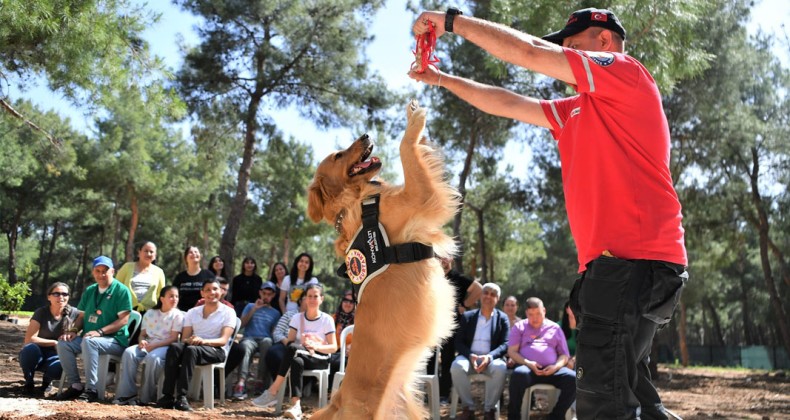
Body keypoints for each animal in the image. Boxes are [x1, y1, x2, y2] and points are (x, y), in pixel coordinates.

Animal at [308, 100, 460, 418]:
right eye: (339, 155)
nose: (366, 135)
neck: (355, 202)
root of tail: (338, 398)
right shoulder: (419, 196)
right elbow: (406, 150)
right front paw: (414, 123)